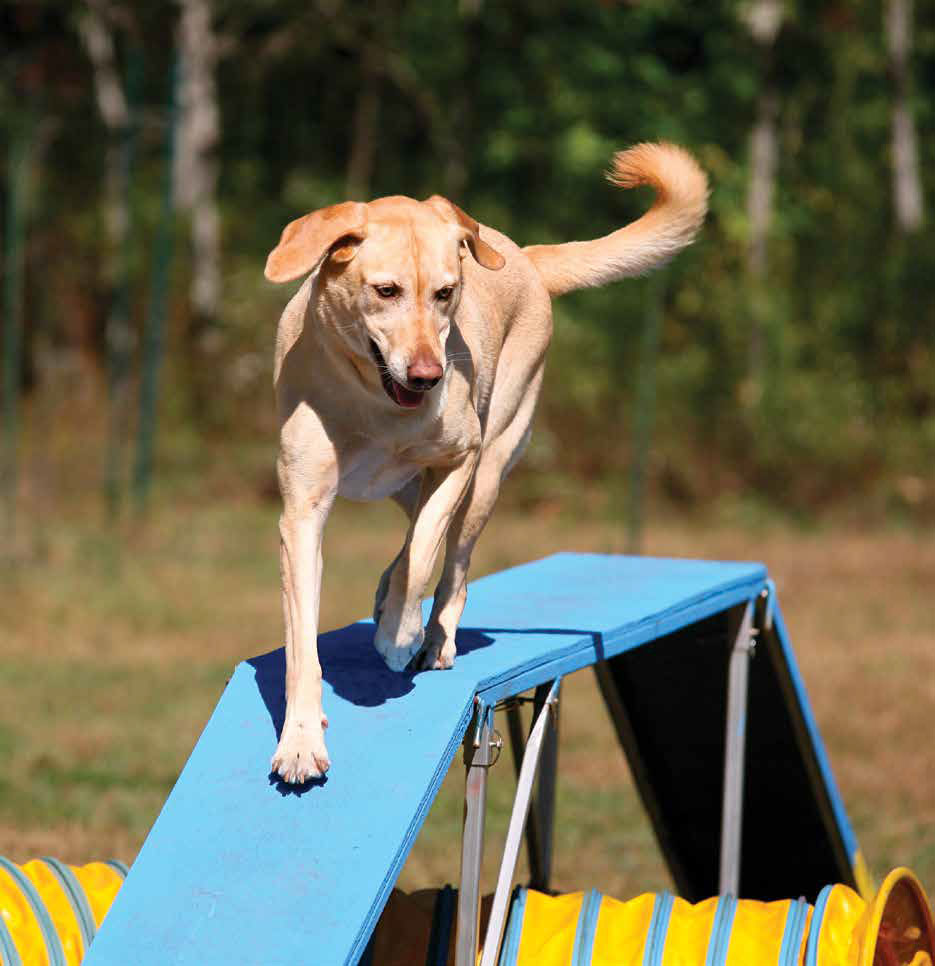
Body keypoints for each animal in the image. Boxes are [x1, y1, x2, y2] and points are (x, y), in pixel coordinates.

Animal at [266, 140, 704, 784]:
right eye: (386, 291)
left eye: (446, 293)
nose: (429, 375)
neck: (372, 399)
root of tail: (523, 255)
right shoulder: (303, 512)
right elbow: (302, 642)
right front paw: (299, 742)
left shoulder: (459, 460)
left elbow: (425, 554)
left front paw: (400, 633)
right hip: (408, 485)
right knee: (414, 534)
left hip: (489, 470)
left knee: (453, 564)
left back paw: (431, 635)